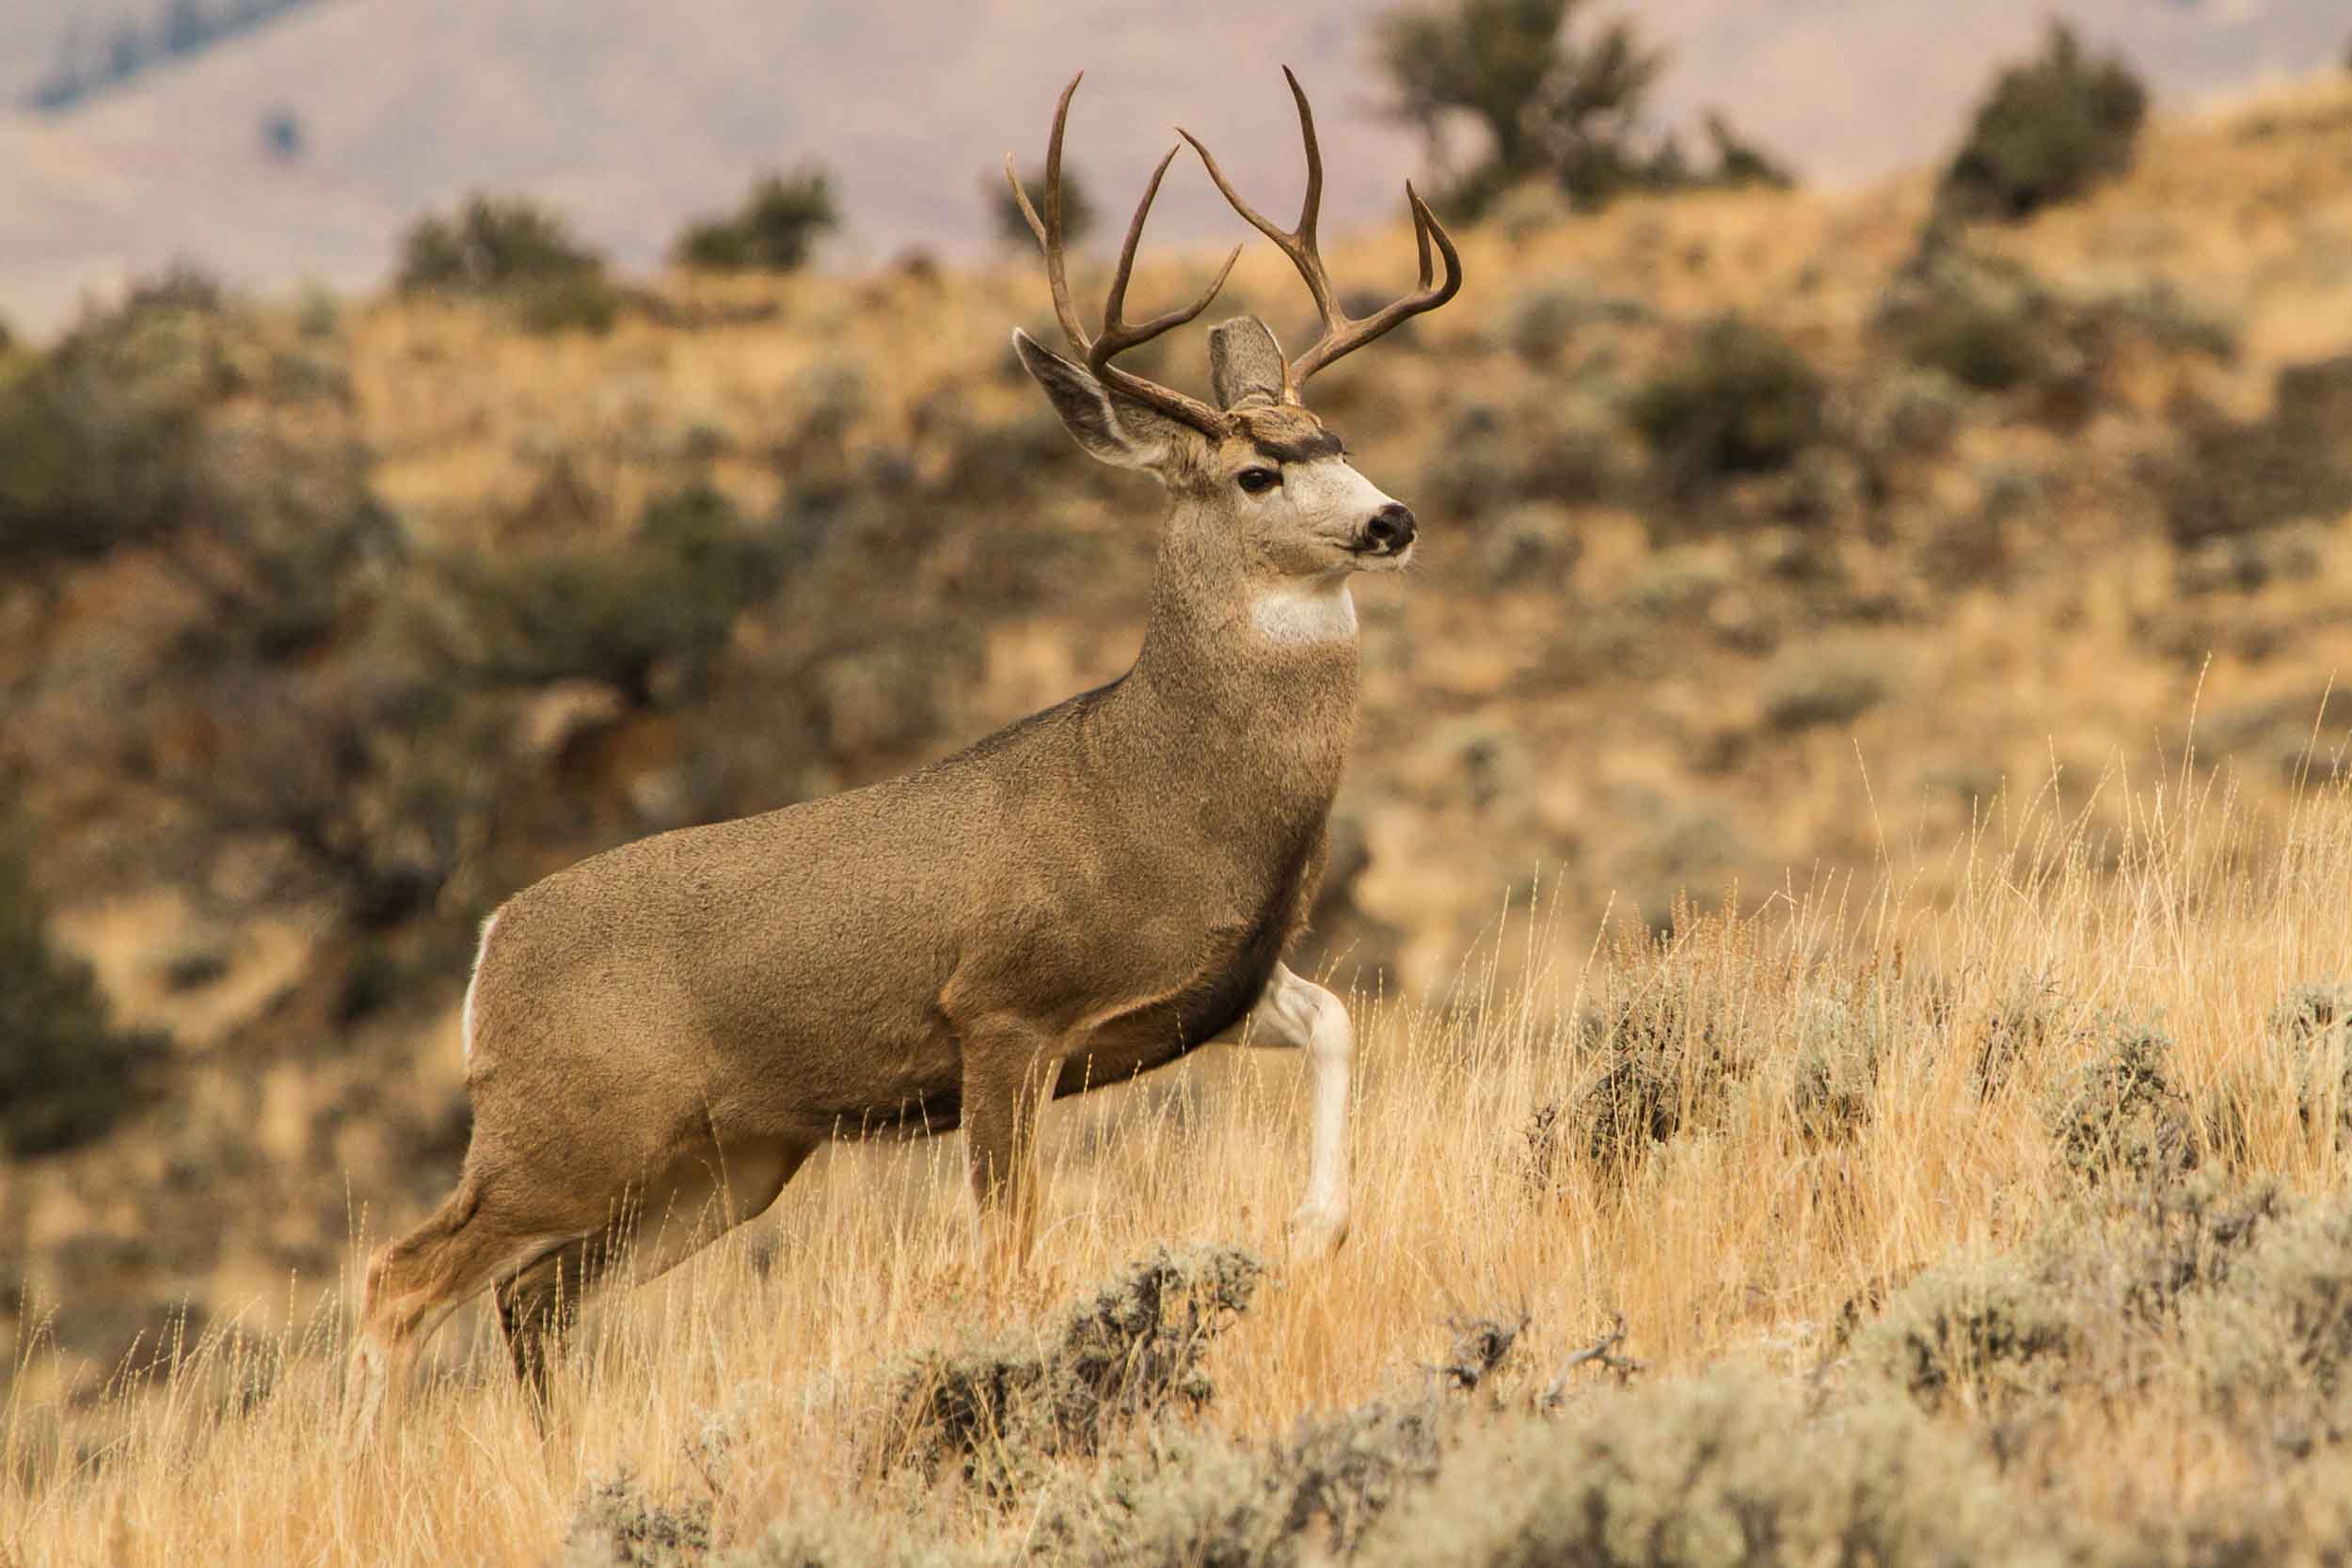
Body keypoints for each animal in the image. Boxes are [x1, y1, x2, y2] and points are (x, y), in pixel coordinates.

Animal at [341, 66, 1460, 1447]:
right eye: (1258, 471)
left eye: (1338, 437)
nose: (1391, 518)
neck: (1158, 790)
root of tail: (490, 947)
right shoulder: (1000, 1011)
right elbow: (1012, 1249)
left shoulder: (1213, 989)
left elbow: (1338, 1019)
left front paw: (1309, 1230)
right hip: (566, 1126)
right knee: (402, 1274)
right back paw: (368, 1468)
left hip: (725, 1156)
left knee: (533, 1296)